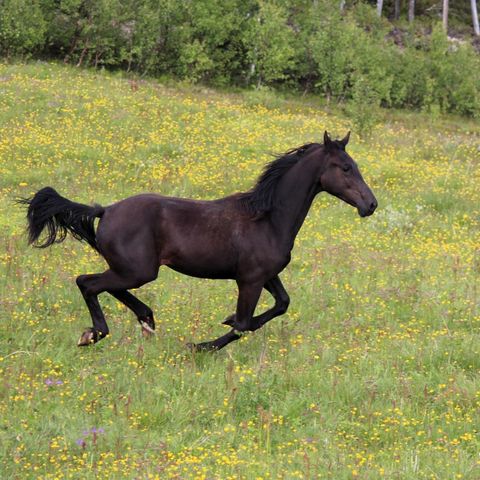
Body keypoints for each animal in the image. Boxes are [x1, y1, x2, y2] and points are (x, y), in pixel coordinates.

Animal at [20, 131, 376, 348]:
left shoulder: (267, 275)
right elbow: (243, 324)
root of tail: (104, 210)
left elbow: (281, 304)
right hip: (138, 270)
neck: (269, 219)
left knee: (106, 286)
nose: (371, 205)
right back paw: (94, 334)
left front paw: (223, 321)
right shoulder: (250, 279)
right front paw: (198, 346)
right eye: (345, 167)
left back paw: (146, 319)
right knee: (87, 282)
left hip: (132, 269)